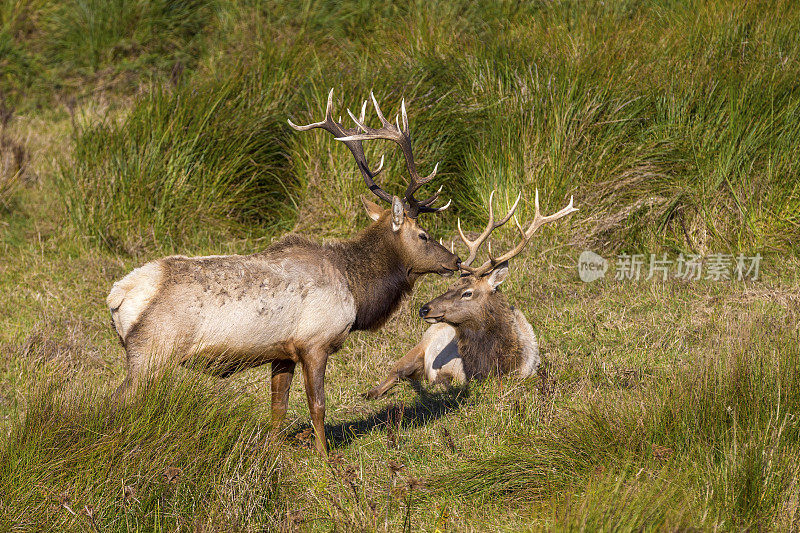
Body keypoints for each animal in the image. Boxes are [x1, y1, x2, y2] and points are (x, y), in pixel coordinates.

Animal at [107, 91, 460, 454]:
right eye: (424, 235)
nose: (456, 260)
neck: (357, 291)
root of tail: (118, 294)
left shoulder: (283, 352)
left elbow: (279, 408)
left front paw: (275, 451)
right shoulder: (315, 342)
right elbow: (317, 406)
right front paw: (325, 456)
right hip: (152, 351)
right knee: (116, 401)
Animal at [366, 189, 580, 396]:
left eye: (467, 293)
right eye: (450, 287)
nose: (424, 309)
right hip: (418, 347)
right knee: (395, 371)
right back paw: (371, 392)